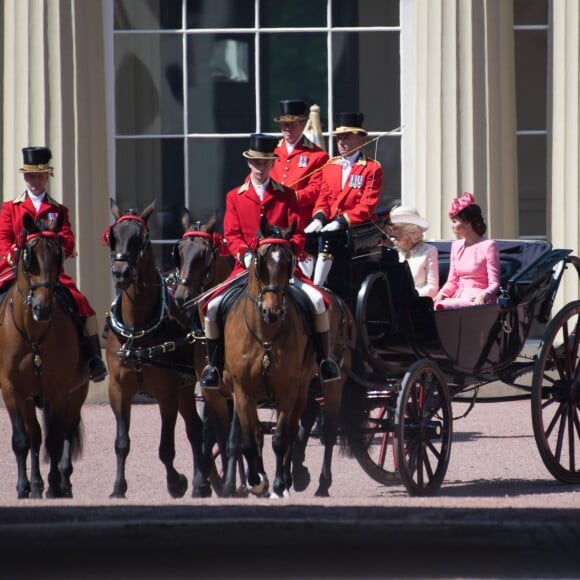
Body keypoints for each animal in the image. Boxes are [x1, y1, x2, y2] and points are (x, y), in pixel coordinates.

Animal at [0, 213, 88, 498]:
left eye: (58, 254)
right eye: (29, 256)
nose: (43, 308)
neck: (33, 334)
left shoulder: (60, 392)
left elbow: (55, 440)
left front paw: (52, 485)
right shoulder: (12, 389)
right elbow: (25, 439)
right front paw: (26, 486)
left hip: (77, 393)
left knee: (67, 431)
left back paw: (64, 481)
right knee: (38, 435)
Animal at [103, 199, 210, 498]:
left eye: (142, 238)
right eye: (114, 235)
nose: (120, 273)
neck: (137, 330)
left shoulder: (166, 393)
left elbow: (166, 449)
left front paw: (176, 482)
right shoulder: (118, 389)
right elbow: (121, 442)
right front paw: (118, 488)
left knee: (198, 428)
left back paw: (201, 482)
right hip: (186, 387)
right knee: (196, 428)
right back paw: (202, 482)